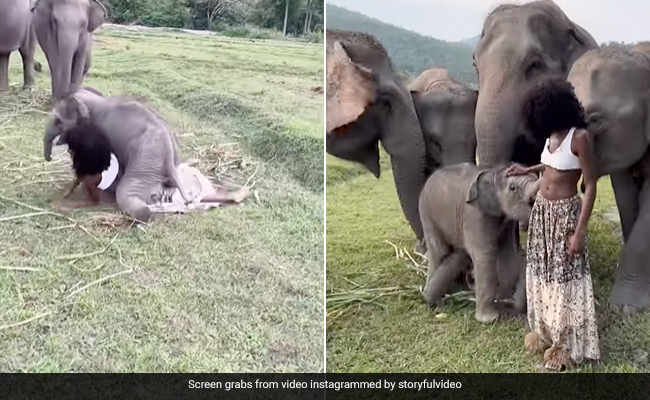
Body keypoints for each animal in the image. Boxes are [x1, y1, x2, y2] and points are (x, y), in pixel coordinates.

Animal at [43, 88, 196, 222]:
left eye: (58, 121)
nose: (49, 158)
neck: (98, 100)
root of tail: (169, 154)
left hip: (145, 164)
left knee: (125, 193)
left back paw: (147, 213)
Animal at [419, 162, 539, 322]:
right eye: (513, 188)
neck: (493, 173)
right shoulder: (474, 214)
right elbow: (484, 255)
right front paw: (490, 319)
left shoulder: (505, 220)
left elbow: (509, 254)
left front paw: (505, 302)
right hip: (427, 214)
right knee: (440, 251)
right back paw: (434, 302)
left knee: (459, 254)